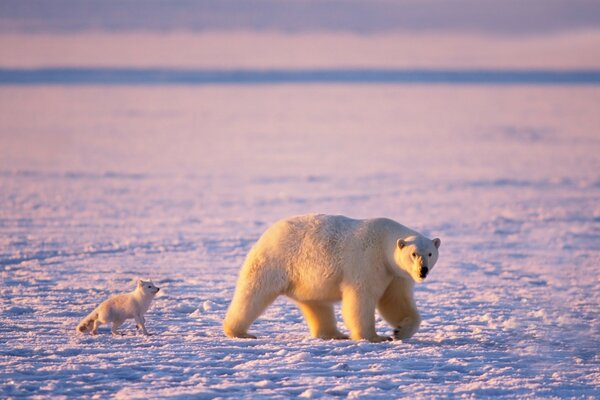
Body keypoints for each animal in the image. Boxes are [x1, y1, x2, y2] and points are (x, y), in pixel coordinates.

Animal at [223, 214, 438, 342]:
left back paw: (334, 334)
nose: (423, 271)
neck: (384, 241)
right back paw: (239, 332)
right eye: (414, 254)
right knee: (254, 293)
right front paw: (374, 337)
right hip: (275, 261)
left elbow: (395, 301)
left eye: (430, 253)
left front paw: (399, 331)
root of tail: (268, 232)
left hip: (306, 280)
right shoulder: (367, 261)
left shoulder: (395, 274)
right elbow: (361, 298)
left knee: (317, 304)